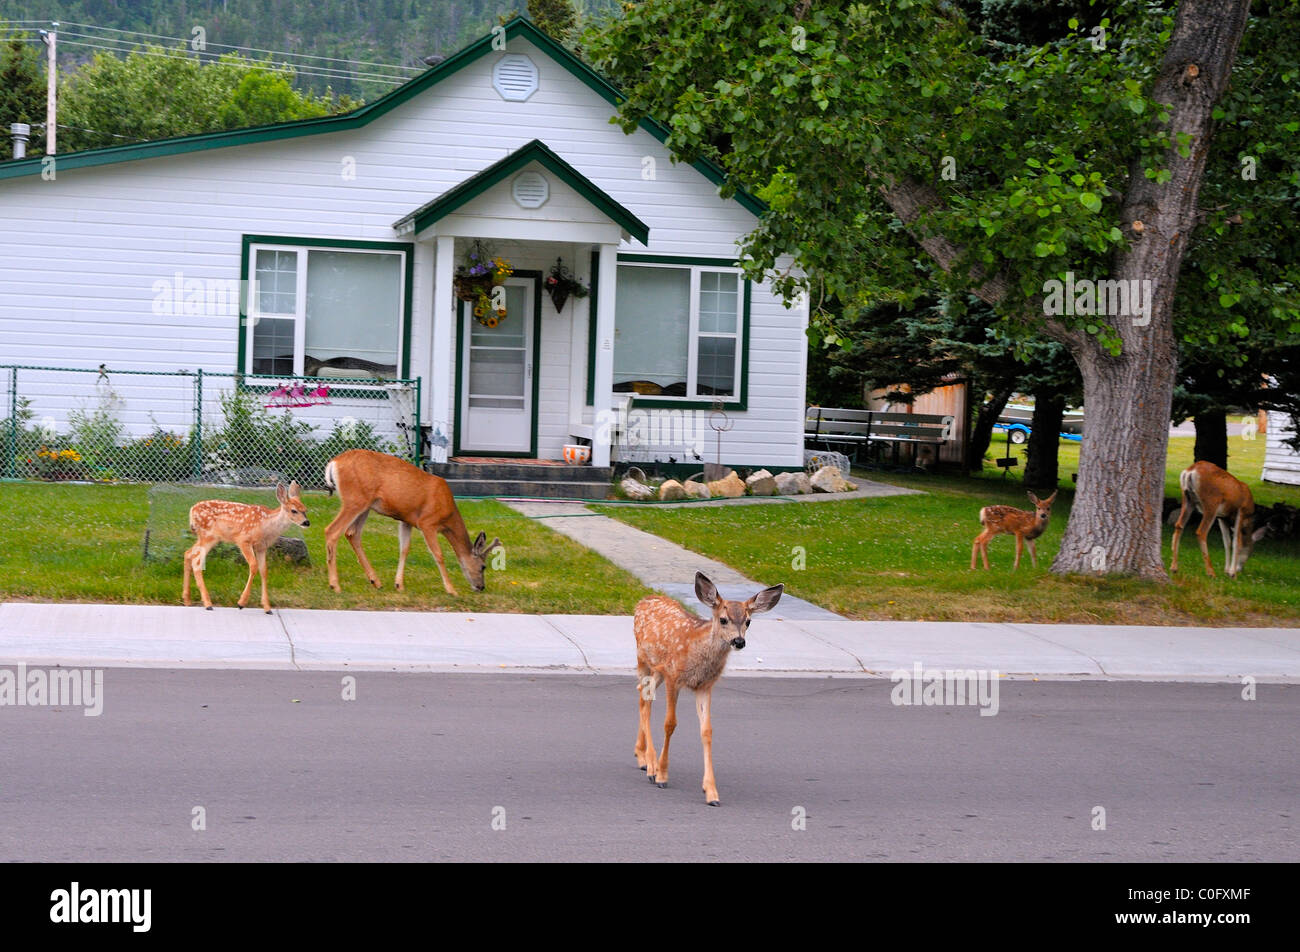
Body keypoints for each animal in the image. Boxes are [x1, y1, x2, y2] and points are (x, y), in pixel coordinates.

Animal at [325, 447, 501, 595]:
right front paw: (451, 590)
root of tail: (334, 462)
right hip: (354, 500)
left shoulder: (406, 520)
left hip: (365, 505)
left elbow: (404, 549)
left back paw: (376, 581)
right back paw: (335, 585)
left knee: (352, 533)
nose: (481, 587)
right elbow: (438, 554)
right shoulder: (427, 522)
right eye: (483, 566)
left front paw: (399, 585)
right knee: (332, 531)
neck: (448, 514)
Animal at [631, 572, 780, 801]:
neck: (697, 650)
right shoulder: (674, 676)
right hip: (643, 658)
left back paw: (642, 757)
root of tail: (644, 600)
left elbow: (707, 731)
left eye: (748, 621)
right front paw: (663, 776)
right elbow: (670, 723)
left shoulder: (704, 685)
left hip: (657, 669)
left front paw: (711, 791)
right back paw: (651, 765)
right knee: (645, 701)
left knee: (642, 696)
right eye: (723, 619)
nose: (739, 641)